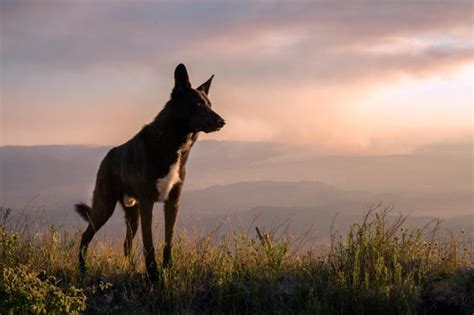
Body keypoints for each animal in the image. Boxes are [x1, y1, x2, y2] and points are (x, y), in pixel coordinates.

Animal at [74, 63, 226, 278]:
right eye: (197, 104)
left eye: (210, 104)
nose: (222, 121)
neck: (172, 142)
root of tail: (107, 156)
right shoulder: (148, 203)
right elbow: (149, 243)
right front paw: (153, 275)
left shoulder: (172, 202)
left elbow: (168, 241)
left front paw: (167, 270)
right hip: (105, 207)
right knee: (85, 236)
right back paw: (82, 269)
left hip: (132, 214)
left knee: (126, 245)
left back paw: (128, 270)